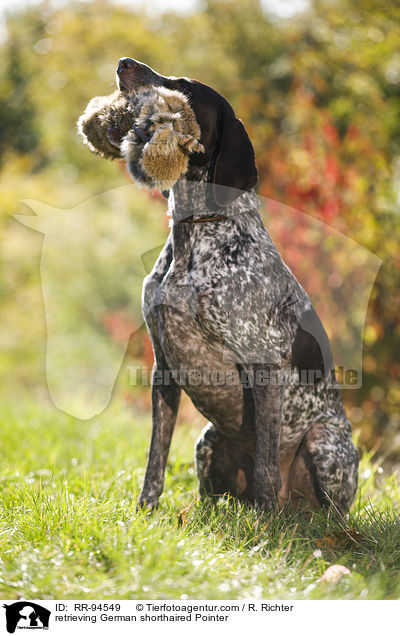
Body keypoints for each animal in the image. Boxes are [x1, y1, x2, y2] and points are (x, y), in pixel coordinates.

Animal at [79, 57, 360, 516]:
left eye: (183, 87)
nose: (123, 62)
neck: (197, 233)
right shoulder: (163, 366)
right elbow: (156, 455)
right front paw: (145, 510)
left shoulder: (265, 365)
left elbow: (266, 465)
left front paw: (265, 524)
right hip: (207, 441)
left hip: (325, 442)